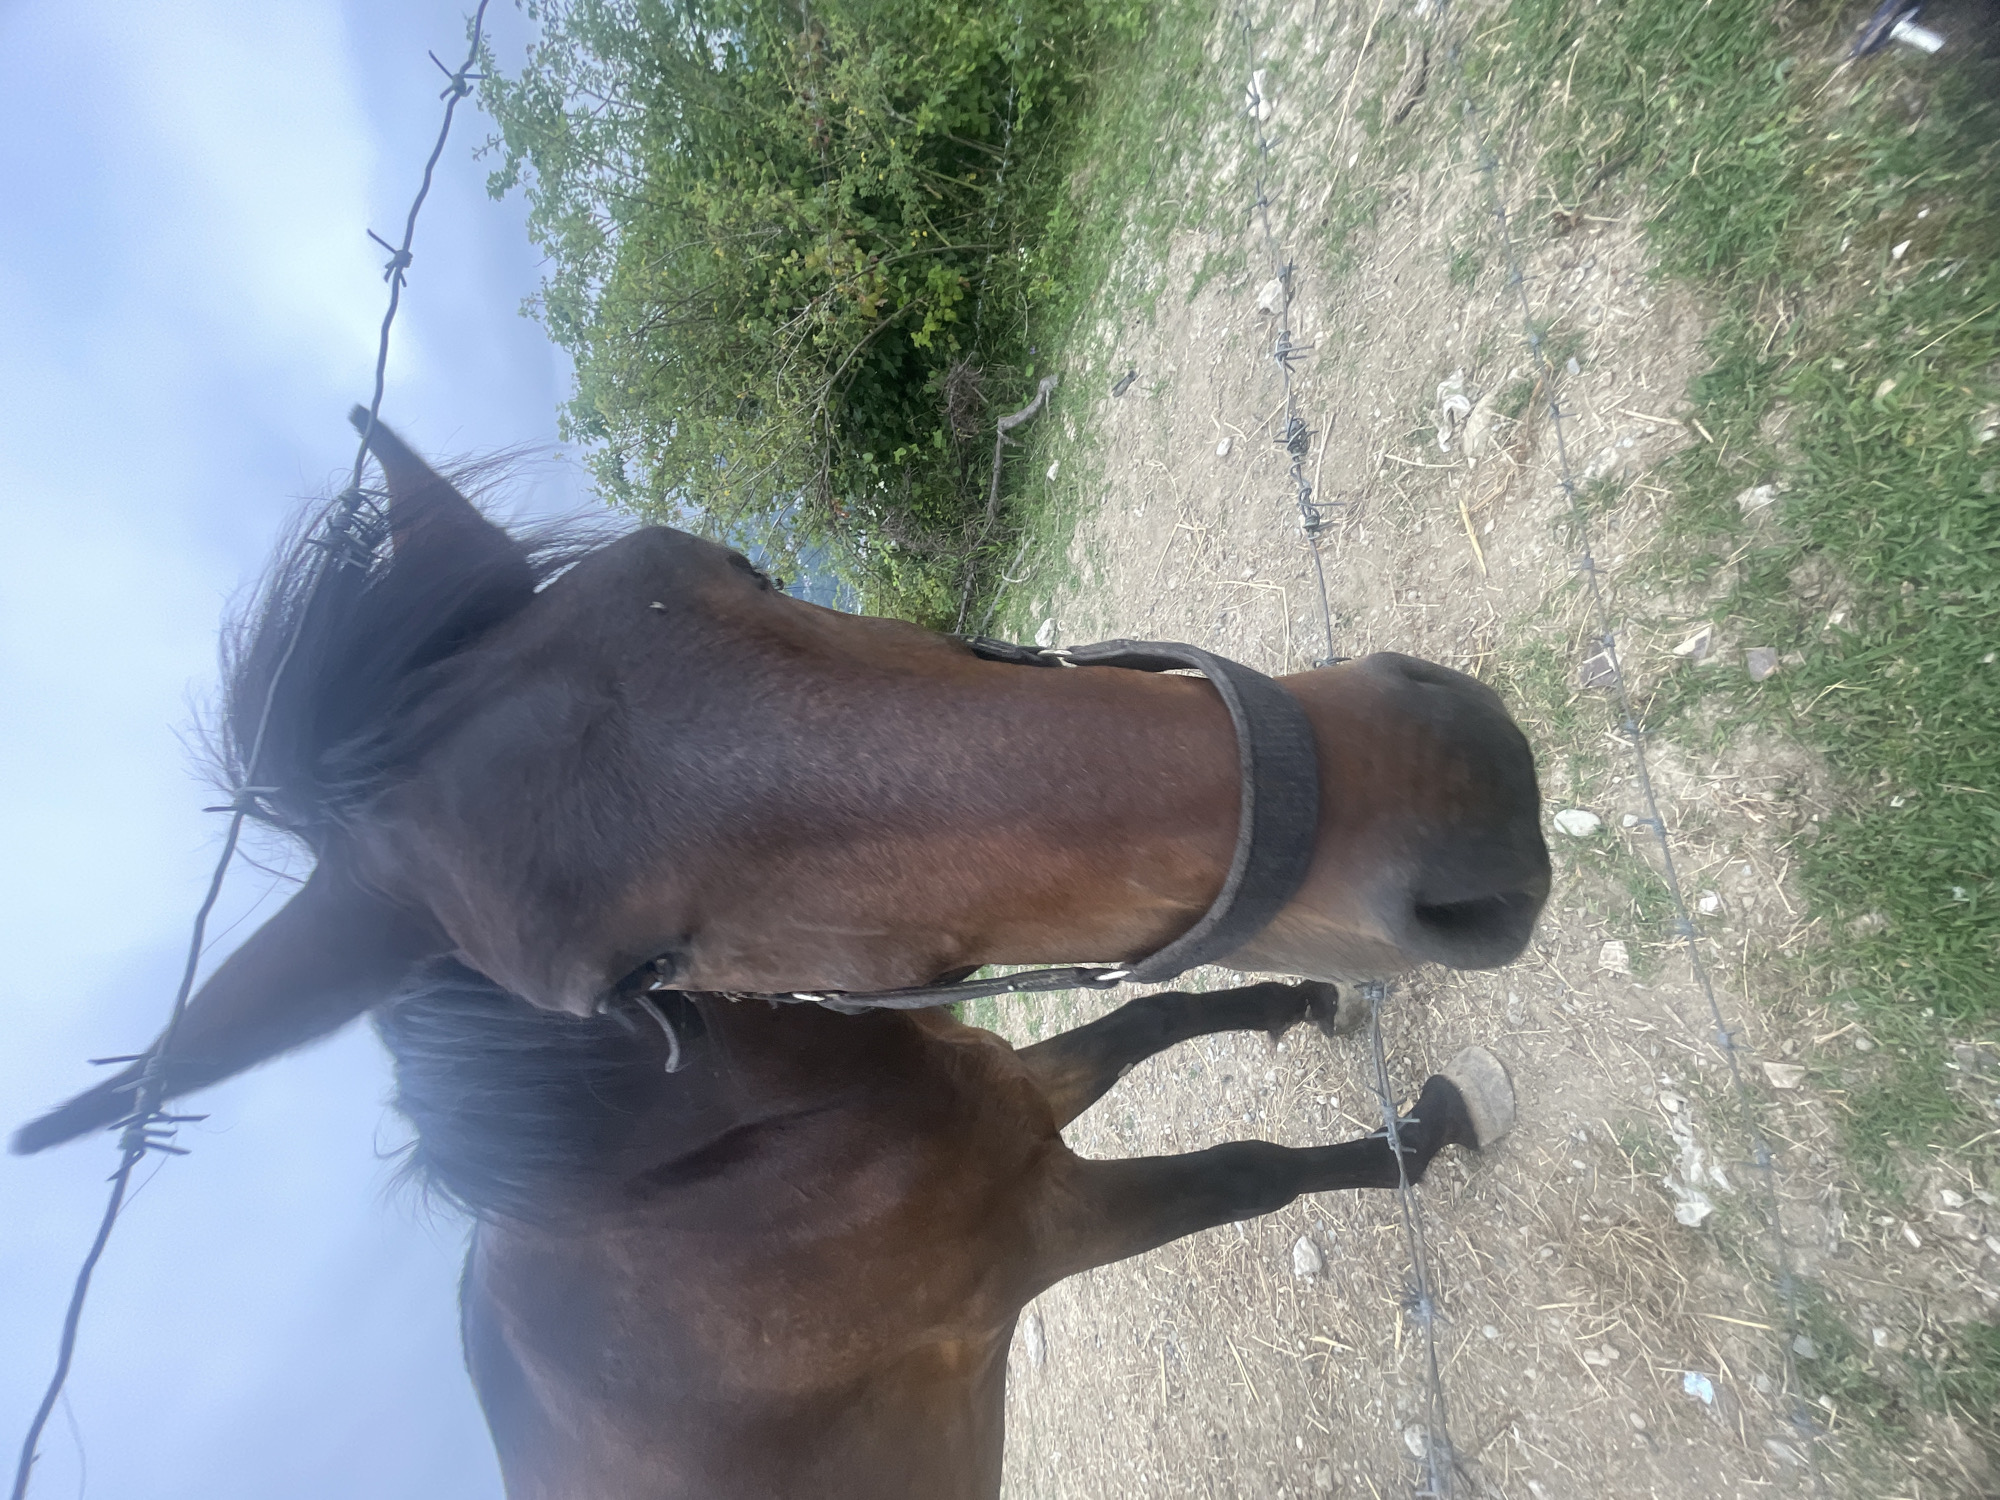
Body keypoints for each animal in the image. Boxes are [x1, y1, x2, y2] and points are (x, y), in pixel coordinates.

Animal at [378, 958, 1517, 1499]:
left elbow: (1149, 1021)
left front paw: (1309, 996)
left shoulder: (1016, 1102)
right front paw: (1422, 1135)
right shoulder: (1048, 1228)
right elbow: (1247, 1174)